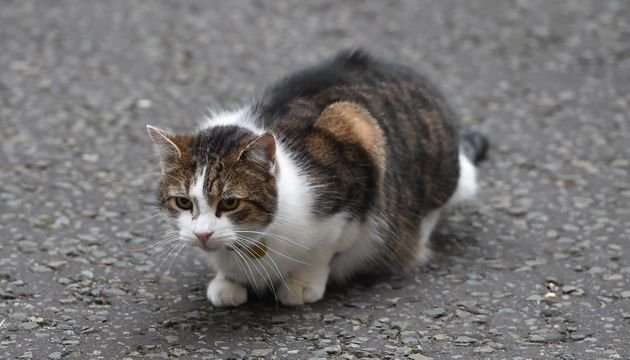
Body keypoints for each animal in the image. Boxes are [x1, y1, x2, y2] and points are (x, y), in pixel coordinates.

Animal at [147, 48, 488, 306]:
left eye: (229, 203)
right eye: (183, 202)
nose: (202, 235)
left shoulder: (355, 144)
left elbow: (325, 250)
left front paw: (302, 285)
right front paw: (227, 282)